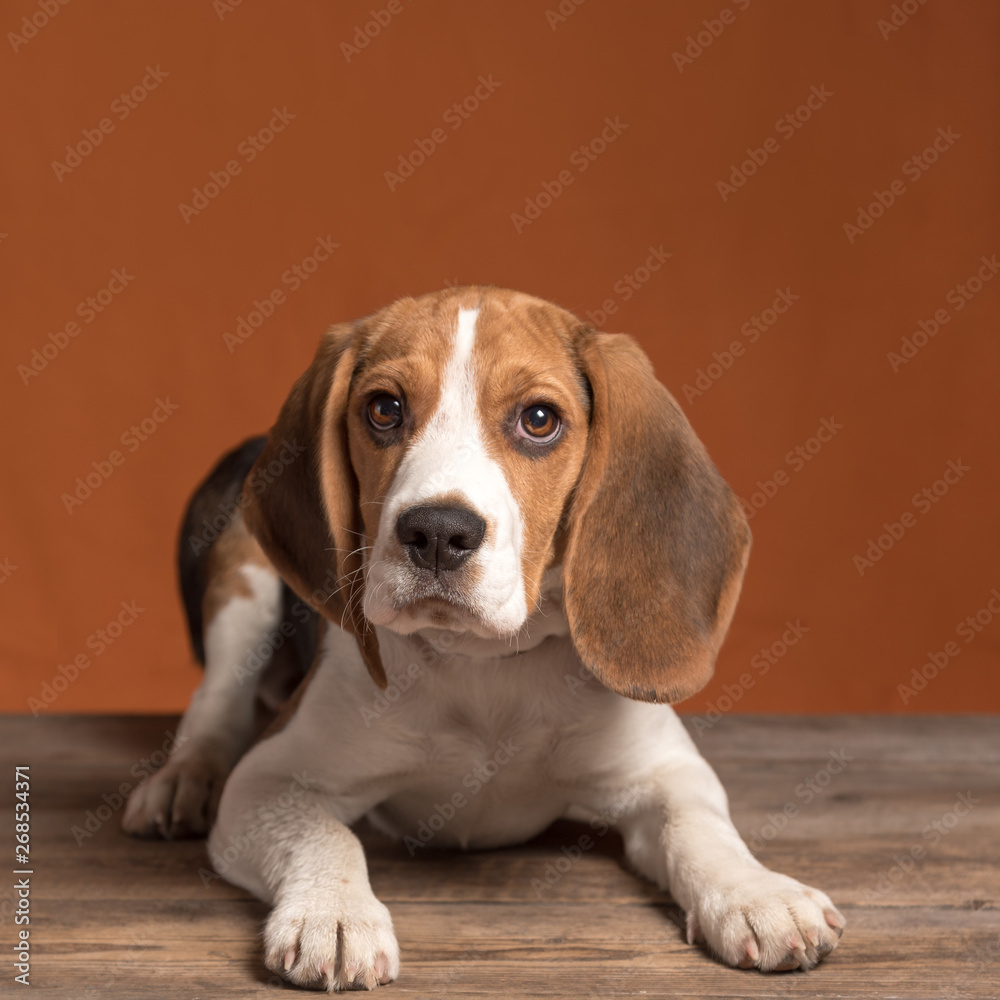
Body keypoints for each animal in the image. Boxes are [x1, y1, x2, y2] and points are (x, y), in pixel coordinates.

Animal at [123, 290, 844, 992]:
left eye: (539, 419)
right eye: (384, 409)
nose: (438, 532)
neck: (485, 666)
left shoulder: (666, 771)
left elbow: (701, 827)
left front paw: (758, 894)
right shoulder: (268, 780)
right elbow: (325, 837)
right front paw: (333, 914)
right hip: (240, 581)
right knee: (216, 703)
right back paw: (182, 781)